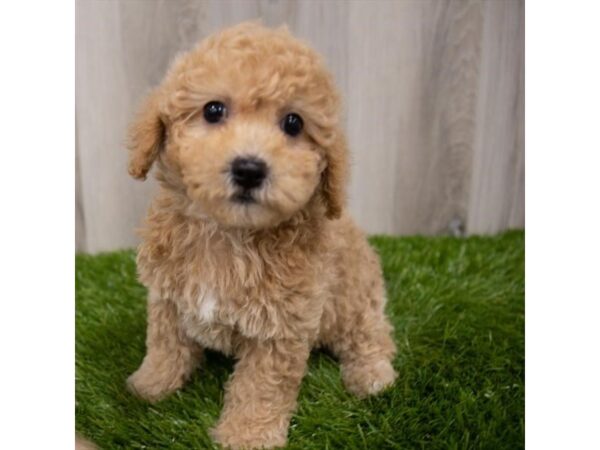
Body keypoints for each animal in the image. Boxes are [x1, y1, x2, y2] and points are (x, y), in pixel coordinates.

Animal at [127, 22, 396, 448]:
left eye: (294, 123)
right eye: (213, 110)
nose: (249, 169)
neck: (229, 234)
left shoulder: (281, 327)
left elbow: (260, 386)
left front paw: (247, 435)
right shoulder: (167, 298)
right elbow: (165, 345)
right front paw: (150, 385)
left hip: (356, 298)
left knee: (371, 334)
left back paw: (372, 375)